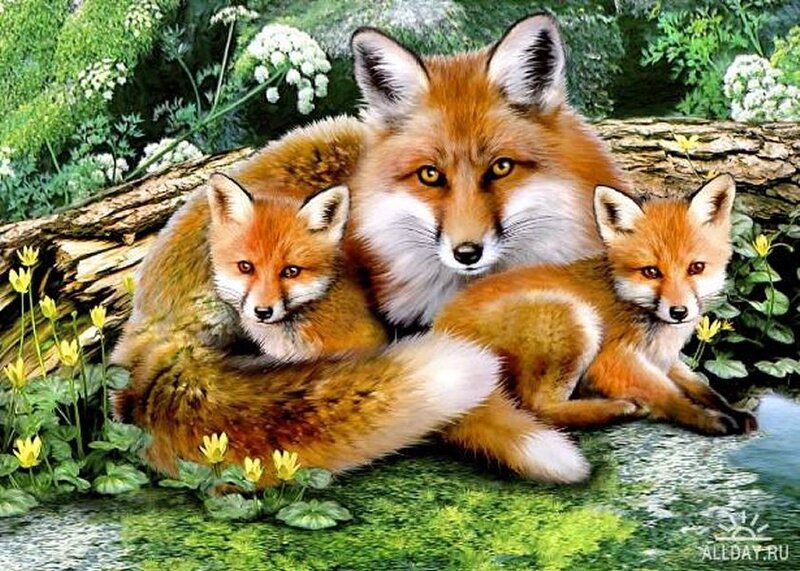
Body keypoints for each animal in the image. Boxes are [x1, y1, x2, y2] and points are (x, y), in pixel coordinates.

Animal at [434, 174, 758, 439]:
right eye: (651, 272)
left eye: (696, 268)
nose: (679, 312)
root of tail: (440, 331)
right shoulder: (611, 361)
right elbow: (669, 395)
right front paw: (704, 418)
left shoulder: (664, 360)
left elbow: (701, 387)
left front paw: (732, 410)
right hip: (575, 319)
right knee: (538, 409)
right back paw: (617, 408)